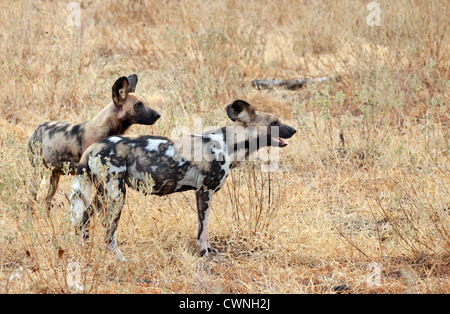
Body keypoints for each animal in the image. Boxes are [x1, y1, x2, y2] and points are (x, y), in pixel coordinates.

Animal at [28, 74, 162, 211]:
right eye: (138, 105)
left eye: (144, 103)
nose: (158, 115)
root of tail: (38, 128)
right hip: (38, 171)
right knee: (31, 198)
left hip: (55, 175)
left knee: (47, 200)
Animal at [69, 100, 296, 260]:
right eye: (274, 123)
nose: (294, 130)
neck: (230, 144)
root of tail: (96, 146)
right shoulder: (205, 192)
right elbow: (203, 229)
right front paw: (204, 253)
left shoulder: (202, 193)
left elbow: (203, 228)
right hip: (117, 196)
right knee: (109, 232)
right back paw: (119, 259)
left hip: (103, 194)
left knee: (83, 220)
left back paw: (83, 250)